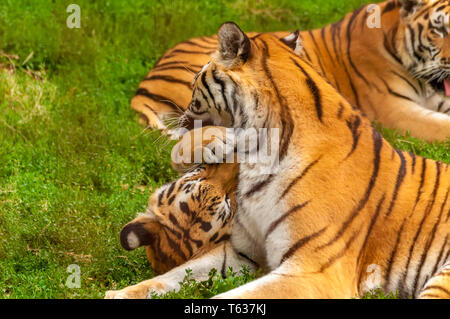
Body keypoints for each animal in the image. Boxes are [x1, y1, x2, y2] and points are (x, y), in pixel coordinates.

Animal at [106, 23, 450, 300]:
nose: (183, 120)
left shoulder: (314, 270)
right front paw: (118, 293)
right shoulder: (244, 251)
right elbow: (173, 276)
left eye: (194, 84)